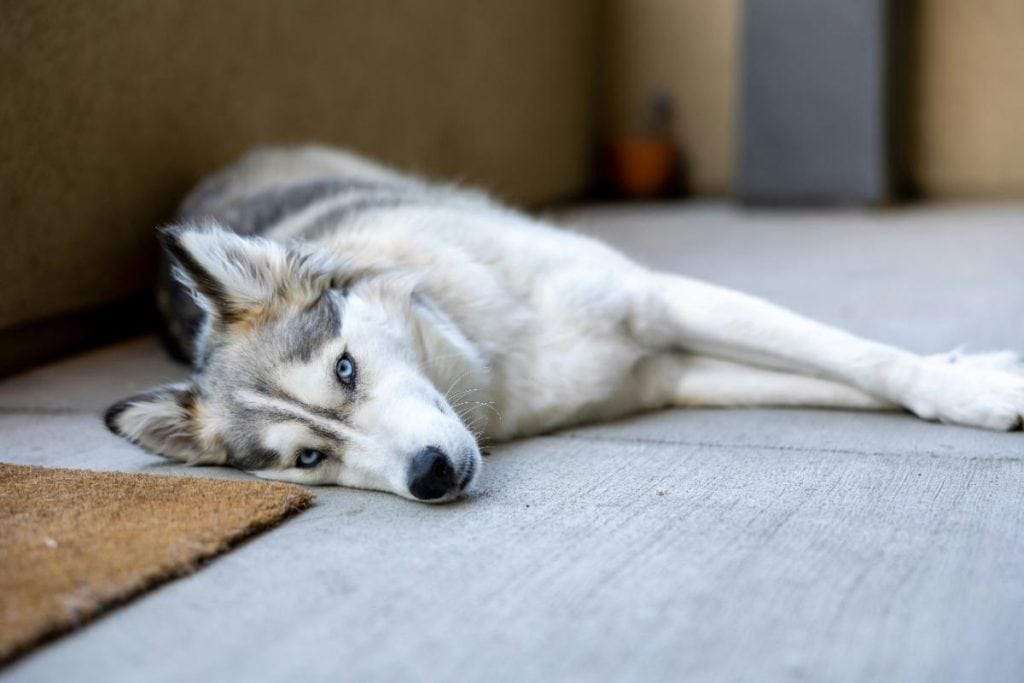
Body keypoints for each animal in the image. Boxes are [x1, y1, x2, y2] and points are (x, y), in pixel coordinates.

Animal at [105, 147, 1024, 501]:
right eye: (309, 457)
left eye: (345, 368)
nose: (431, 475)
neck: (487, 353)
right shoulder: (672, 373)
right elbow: (847, 382)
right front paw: (976, 381)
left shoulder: (661, 302)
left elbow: (870, 364)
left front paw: (970, 391)